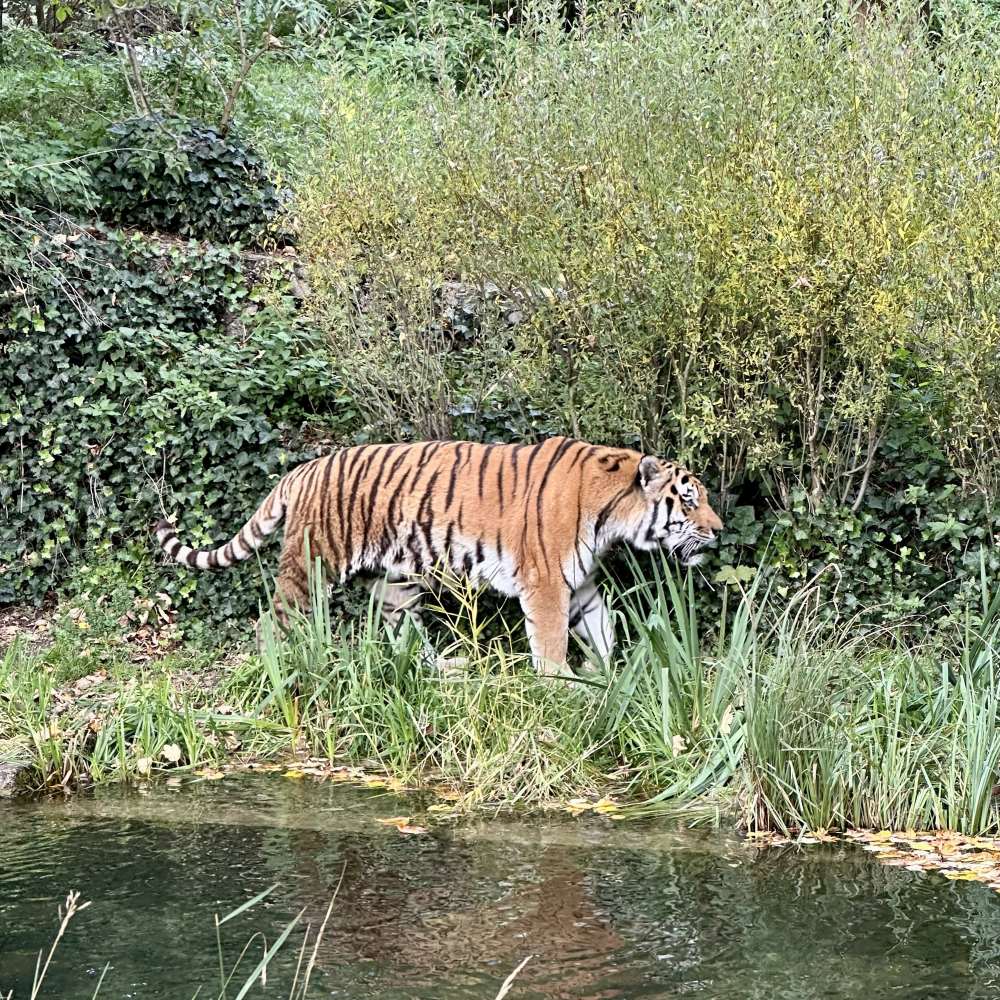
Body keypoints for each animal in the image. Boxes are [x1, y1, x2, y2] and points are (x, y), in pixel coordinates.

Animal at [155, 436, 723, 675]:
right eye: (689, 500)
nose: (718, 532)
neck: (612, 517)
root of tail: (304, 468)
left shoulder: (579, 585)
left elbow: (602, 629)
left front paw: (611, 675)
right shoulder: (545, 585)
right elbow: (552, 643)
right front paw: (561, 683)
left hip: (396, 581)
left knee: (401, 630)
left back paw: (441, 667)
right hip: (312, 564)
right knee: (274, 621)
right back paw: (279, 667)